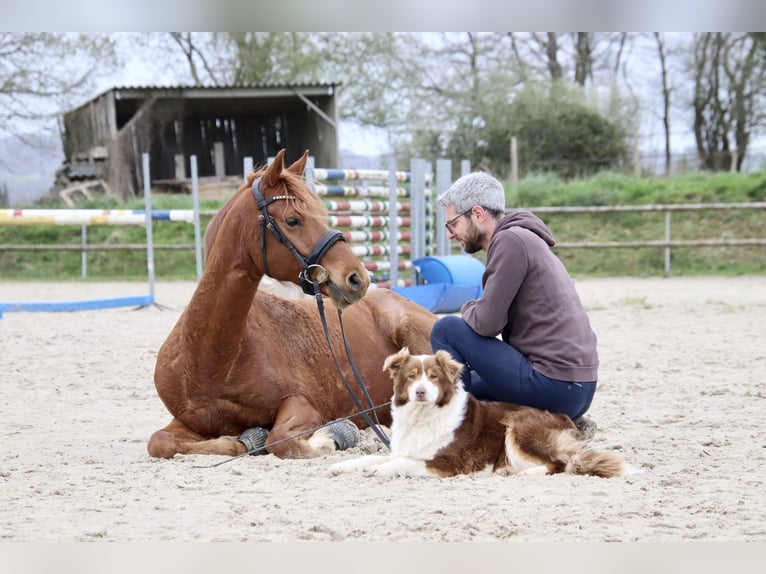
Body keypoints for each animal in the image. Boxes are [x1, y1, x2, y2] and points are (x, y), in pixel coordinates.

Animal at [147, 149, 438, 459]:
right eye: (293, 220)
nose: (358, 278)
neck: (211, 360)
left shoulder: (303, 403)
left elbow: (282, 440)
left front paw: (330, 436)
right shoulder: (189, 420)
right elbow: (159, 442)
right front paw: (245, 440)